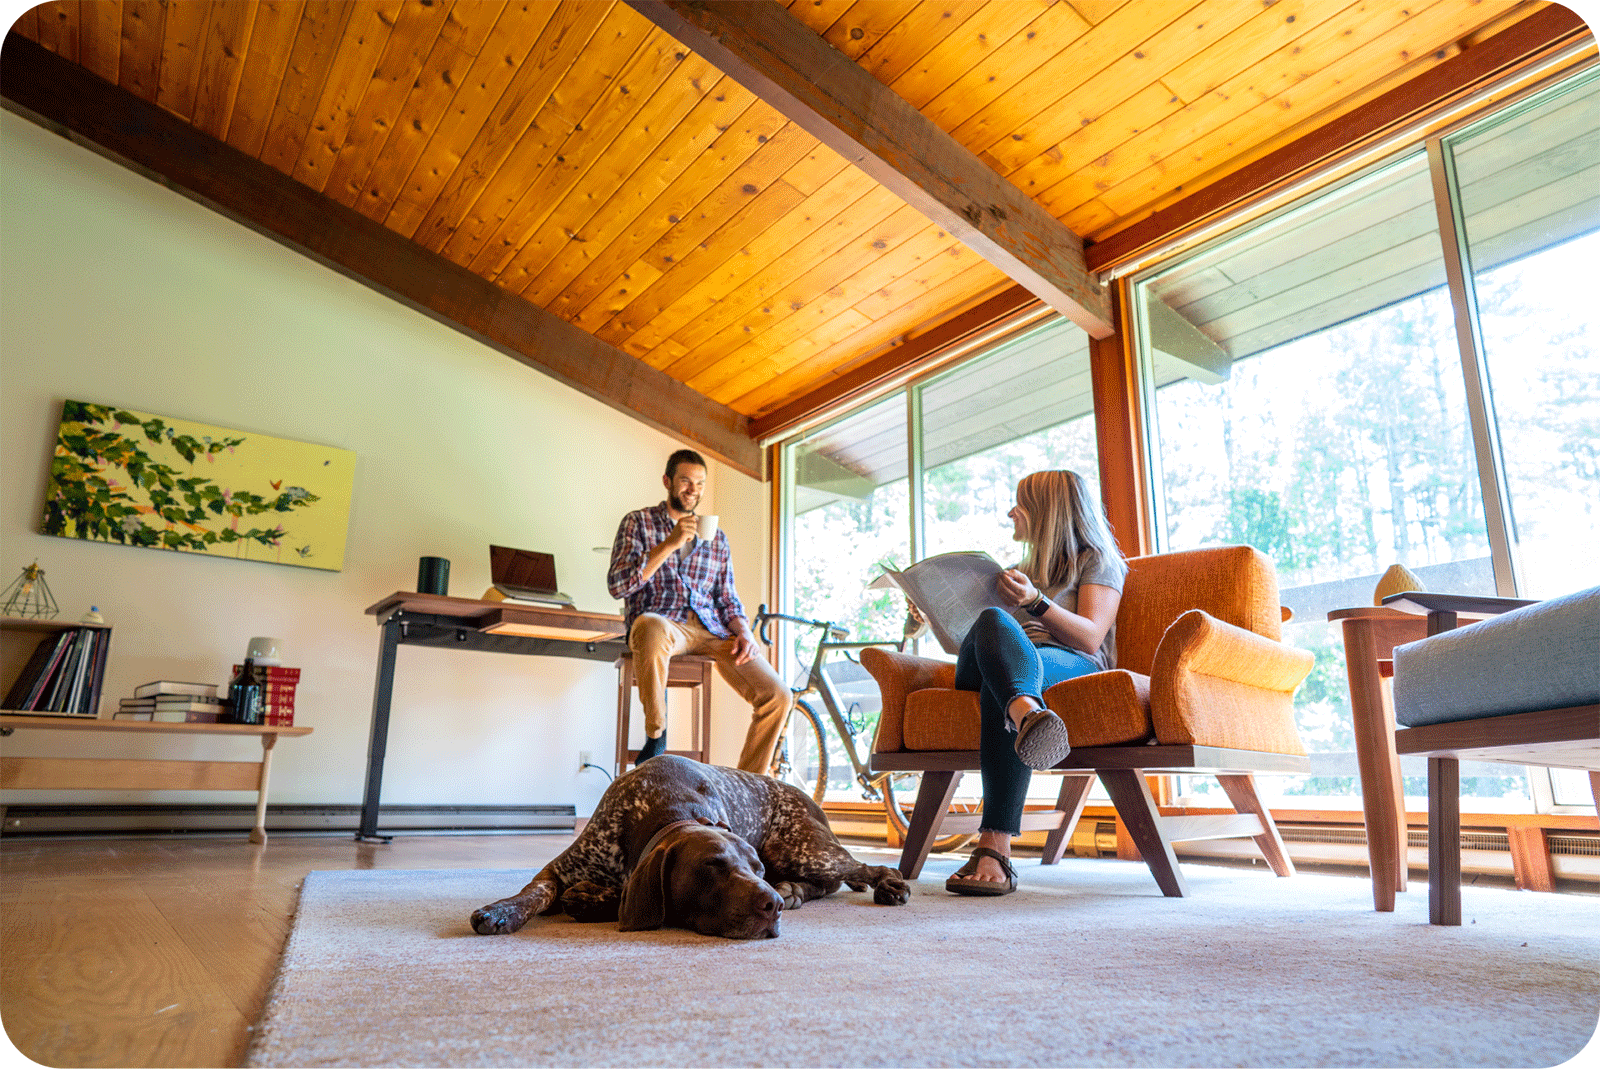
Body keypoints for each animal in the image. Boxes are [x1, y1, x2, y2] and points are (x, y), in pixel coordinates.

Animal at [467, 755, 908, 940]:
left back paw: (887, 884)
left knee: (861, 870)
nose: (773, 905)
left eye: (756, 869)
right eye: (712, 866)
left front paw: (594, 900)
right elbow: (534, 893)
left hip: (802, 850)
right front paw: (501, 910)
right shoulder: (559, 870)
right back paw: (795, 890)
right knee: (827, 882)